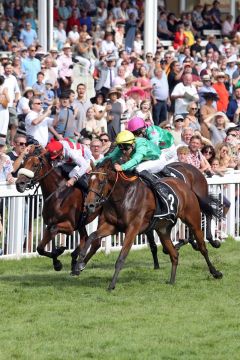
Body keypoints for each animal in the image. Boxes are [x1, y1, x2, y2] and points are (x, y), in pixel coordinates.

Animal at [77, 160, 223, 290]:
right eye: (89, 181)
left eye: (101, 182)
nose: (89, 205)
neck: (124, 196)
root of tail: (185, 186)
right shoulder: (112, 226)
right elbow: (92, 236)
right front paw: (79, 263)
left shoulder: (132, 230)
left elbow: (121, 257)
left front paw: (111, 285)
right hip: (163, 229)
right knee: (174, 254)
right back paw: (172, 280)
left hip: (193, 221)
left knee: (203, 247)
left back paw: (215, 271)